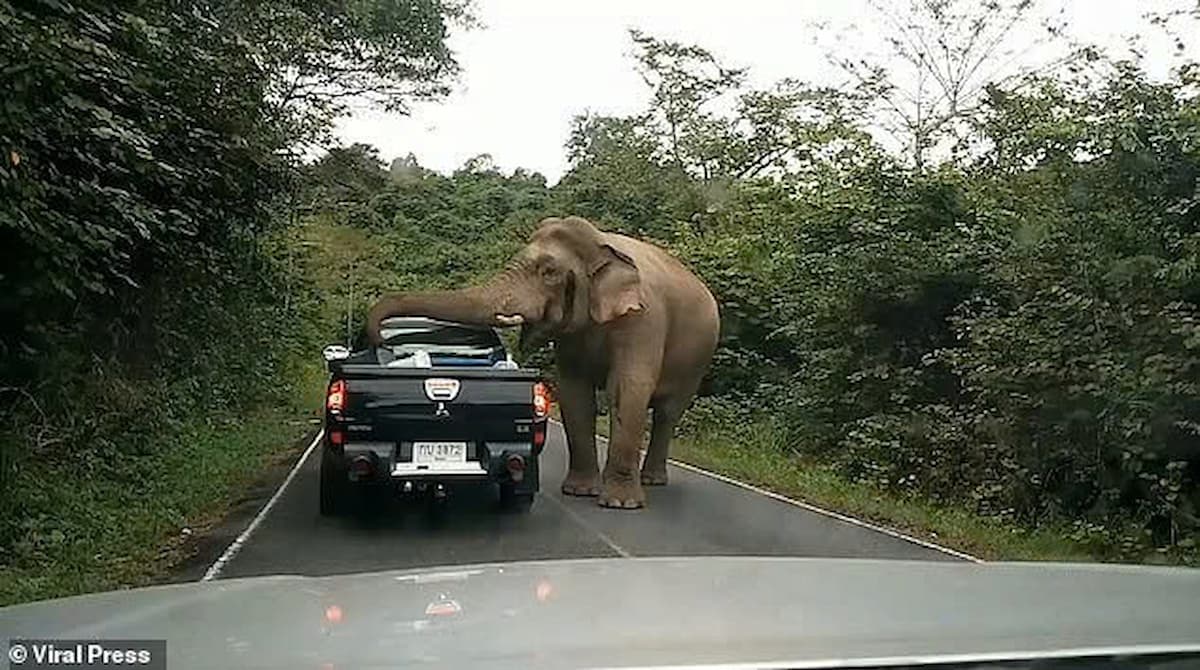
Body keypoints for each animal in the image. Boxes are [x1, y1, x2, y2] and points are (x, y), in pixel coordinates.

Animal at [364, 218, 720, 511]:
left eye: (548, 273)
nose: (381, 339)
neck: (600, 242)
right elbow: (574, 391)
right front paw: (579, 492)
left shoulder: (643, 320)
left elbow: (627, 387)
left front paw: (620, 504)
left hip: (699, 357)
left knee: (667, 413)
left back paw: (652, 482)